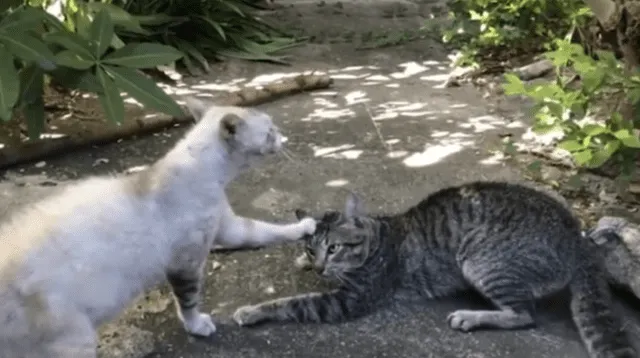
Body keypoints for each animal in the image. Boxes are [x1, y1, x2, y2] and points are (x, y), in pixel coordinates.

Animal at [0, 98, 316, 358]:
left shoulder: (228, 228)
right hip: (75, 340)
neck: (210, 175)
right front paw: (197, 325)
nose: (282, 135)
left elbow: (265, 230)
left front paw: (304, 227)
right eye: (270, 131)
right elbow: (189, 300)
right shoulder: (185, 263)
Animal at [234, 182, 636, 358]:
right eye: (312, 247)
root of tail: (578, 238)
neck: (378, 237)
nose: (319, 265)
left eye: (334, 248)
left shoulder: (349, 300)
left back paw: (472, 316)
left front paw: (252, 310)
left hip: (480, 259)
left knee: (524, 314)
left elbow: (292, 302)